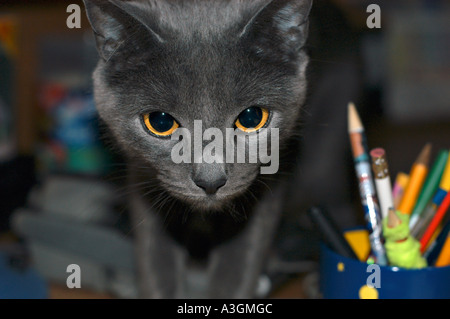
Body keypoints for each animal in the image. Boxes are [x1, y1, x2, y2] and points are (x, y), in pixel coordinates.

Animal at [83, 0, 312, 300]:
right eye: (160, 122)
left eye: (252, 117)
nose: (210, 180)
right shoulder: (142, 175)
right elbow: (155, 258)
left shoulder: (273, 174)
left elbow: (241, 258)